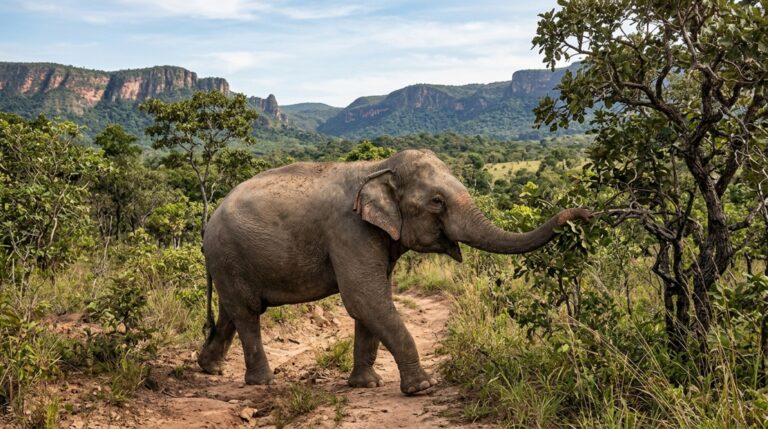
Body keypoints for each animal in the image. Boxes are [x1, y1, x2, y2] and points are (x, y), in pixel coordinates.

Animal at [197, 149, 590, 394]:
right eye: (436, 202)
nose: (583, 213)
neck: (378, 166)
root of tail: (209, 222)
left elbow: (372, 301)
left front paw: (365, 385)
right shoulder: (349, 230)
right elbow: (364, 297)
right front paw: (422, 388)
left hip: (228, 261)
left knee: (232, 312)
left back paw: (209, 369)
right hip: (228, 253)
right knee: (247, 313)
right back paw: (262, 383)